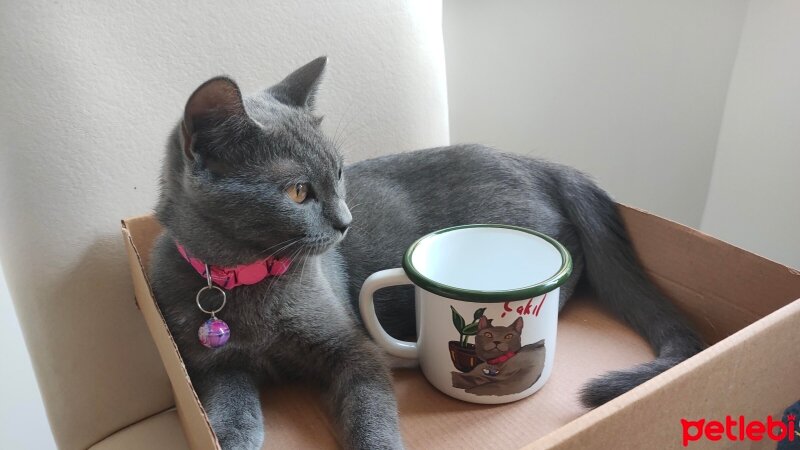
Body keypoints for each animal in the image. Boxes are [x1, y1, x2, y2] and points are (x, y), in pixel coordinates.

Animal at [147, 57, 704, 450]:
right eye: (298, 192)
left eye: (340, 173)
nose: (346, 221)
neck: (243, 278)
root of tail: (539, 163)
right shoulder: (206, 363)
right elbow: (226, 407)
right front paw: (233, 435)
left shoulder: (355, 350)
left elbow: (370, 410)